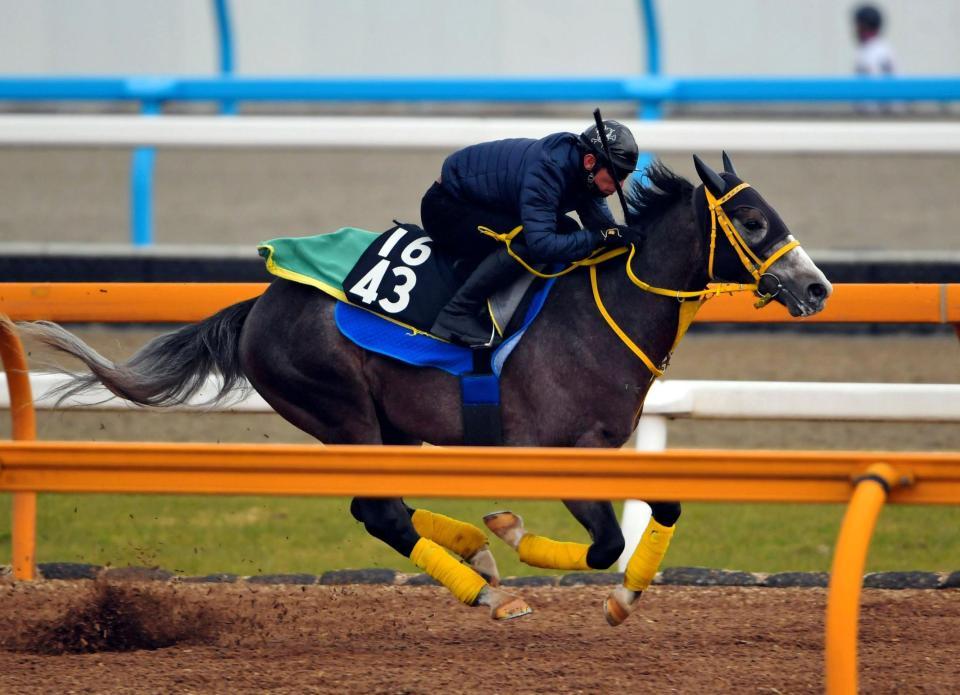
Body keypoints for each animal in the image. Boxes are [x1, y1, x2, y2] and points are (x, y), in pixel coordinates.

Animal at [13, 155, 832, 628]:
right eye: (753, 219)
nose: (817, 287)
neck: (600, 311)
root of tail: (260, 302)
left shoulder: (610, 448)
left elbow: (660, 510)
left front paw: (617, 589)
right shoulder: (554, 450)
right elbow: (603, 544)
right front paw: (547, 554)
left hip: (385, 424)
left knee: (385, 509)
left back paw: (479, 554)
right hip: (340, 409)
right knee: (379, 511)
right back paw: (489, 588)